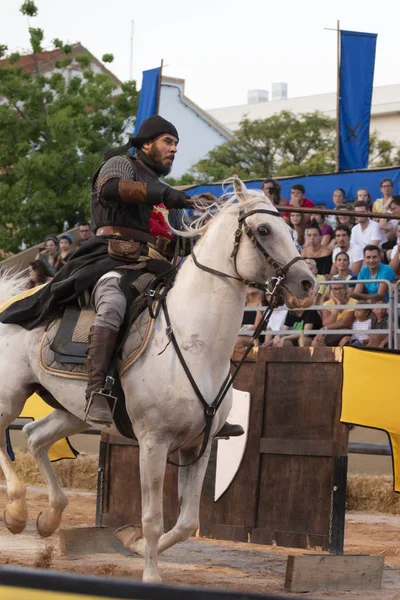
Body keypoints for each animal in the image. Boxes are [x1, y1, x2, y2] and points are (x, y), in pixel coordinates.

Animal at [0, 179, 316, 580]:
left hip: (73, 412)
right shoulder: (153, 443)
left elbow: (186, 523)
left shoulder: (198, 446)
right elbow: (153, 518)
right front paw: (150, 574)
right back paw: (16, 512)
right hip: (8, 398)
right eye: (263, 230)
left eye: (290, 230)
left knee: (34, 436)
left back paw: (48, 519)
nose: (307, 283)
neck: (194, 342)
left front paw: (131, 543)